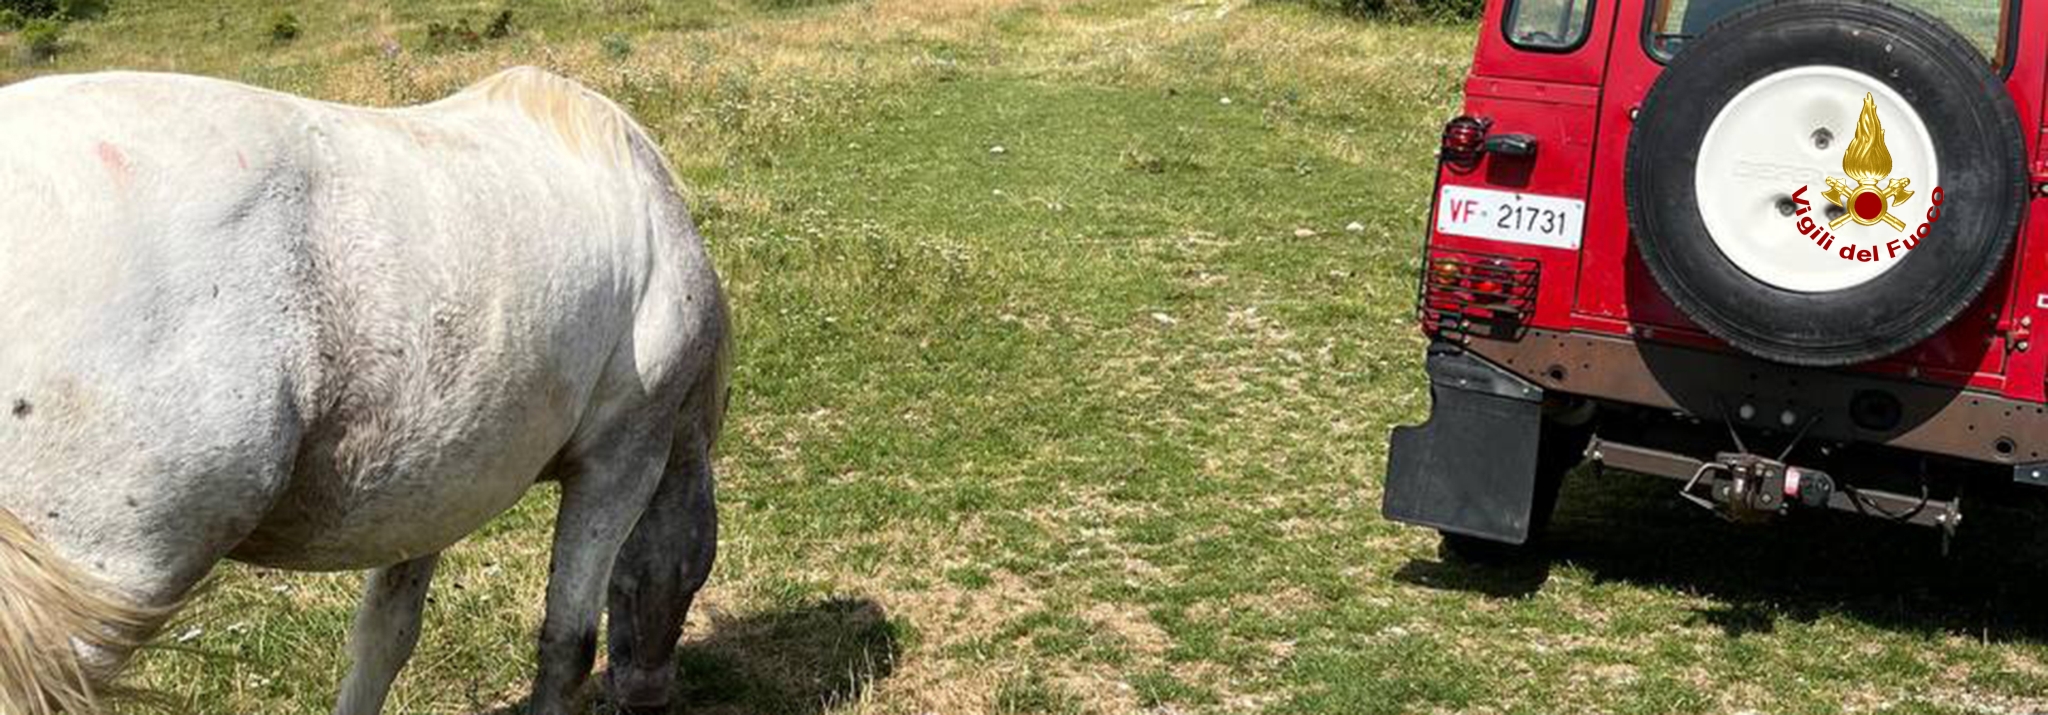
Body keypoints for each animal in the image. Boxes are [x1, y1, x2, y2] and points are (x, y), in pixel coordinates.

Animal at [0, 67, 730, 715]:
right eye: (697, 574)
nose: (649, 692)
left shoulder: (441, 485)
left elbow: (385, 638)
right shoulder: (622, 460)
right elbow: (566, 645)